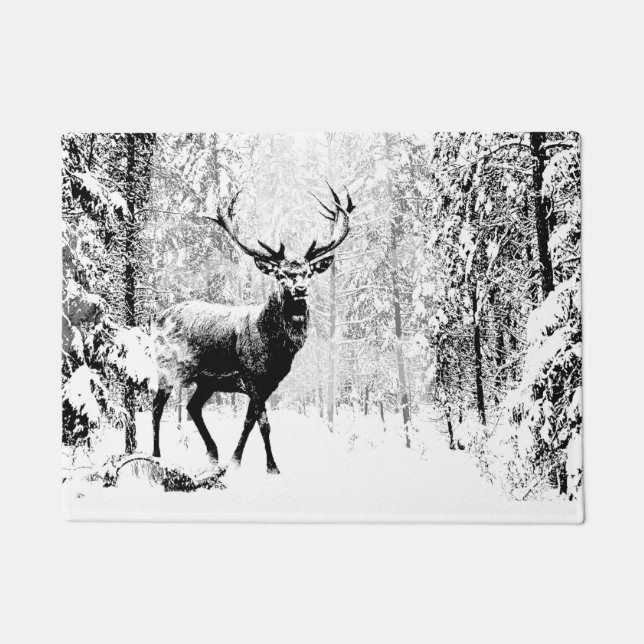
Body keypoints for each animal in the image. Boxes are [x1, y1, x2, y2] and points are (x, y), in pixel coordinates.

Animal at [150, 185, 354, 474]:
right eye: (281, 274)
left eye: (308, 272)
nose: (301, 289)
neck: (274, 349)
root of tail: (156, 317)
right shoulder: (253, 377)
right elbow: (263, 424)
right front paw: (267, 466)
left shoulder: (267, 384)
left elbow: (251, 422)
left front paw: (240, 462)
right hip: (166, 368)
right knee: (157, 407)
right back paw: (156, 455)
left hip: (206, 381)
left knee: (192, 406)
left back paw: (213, 454)